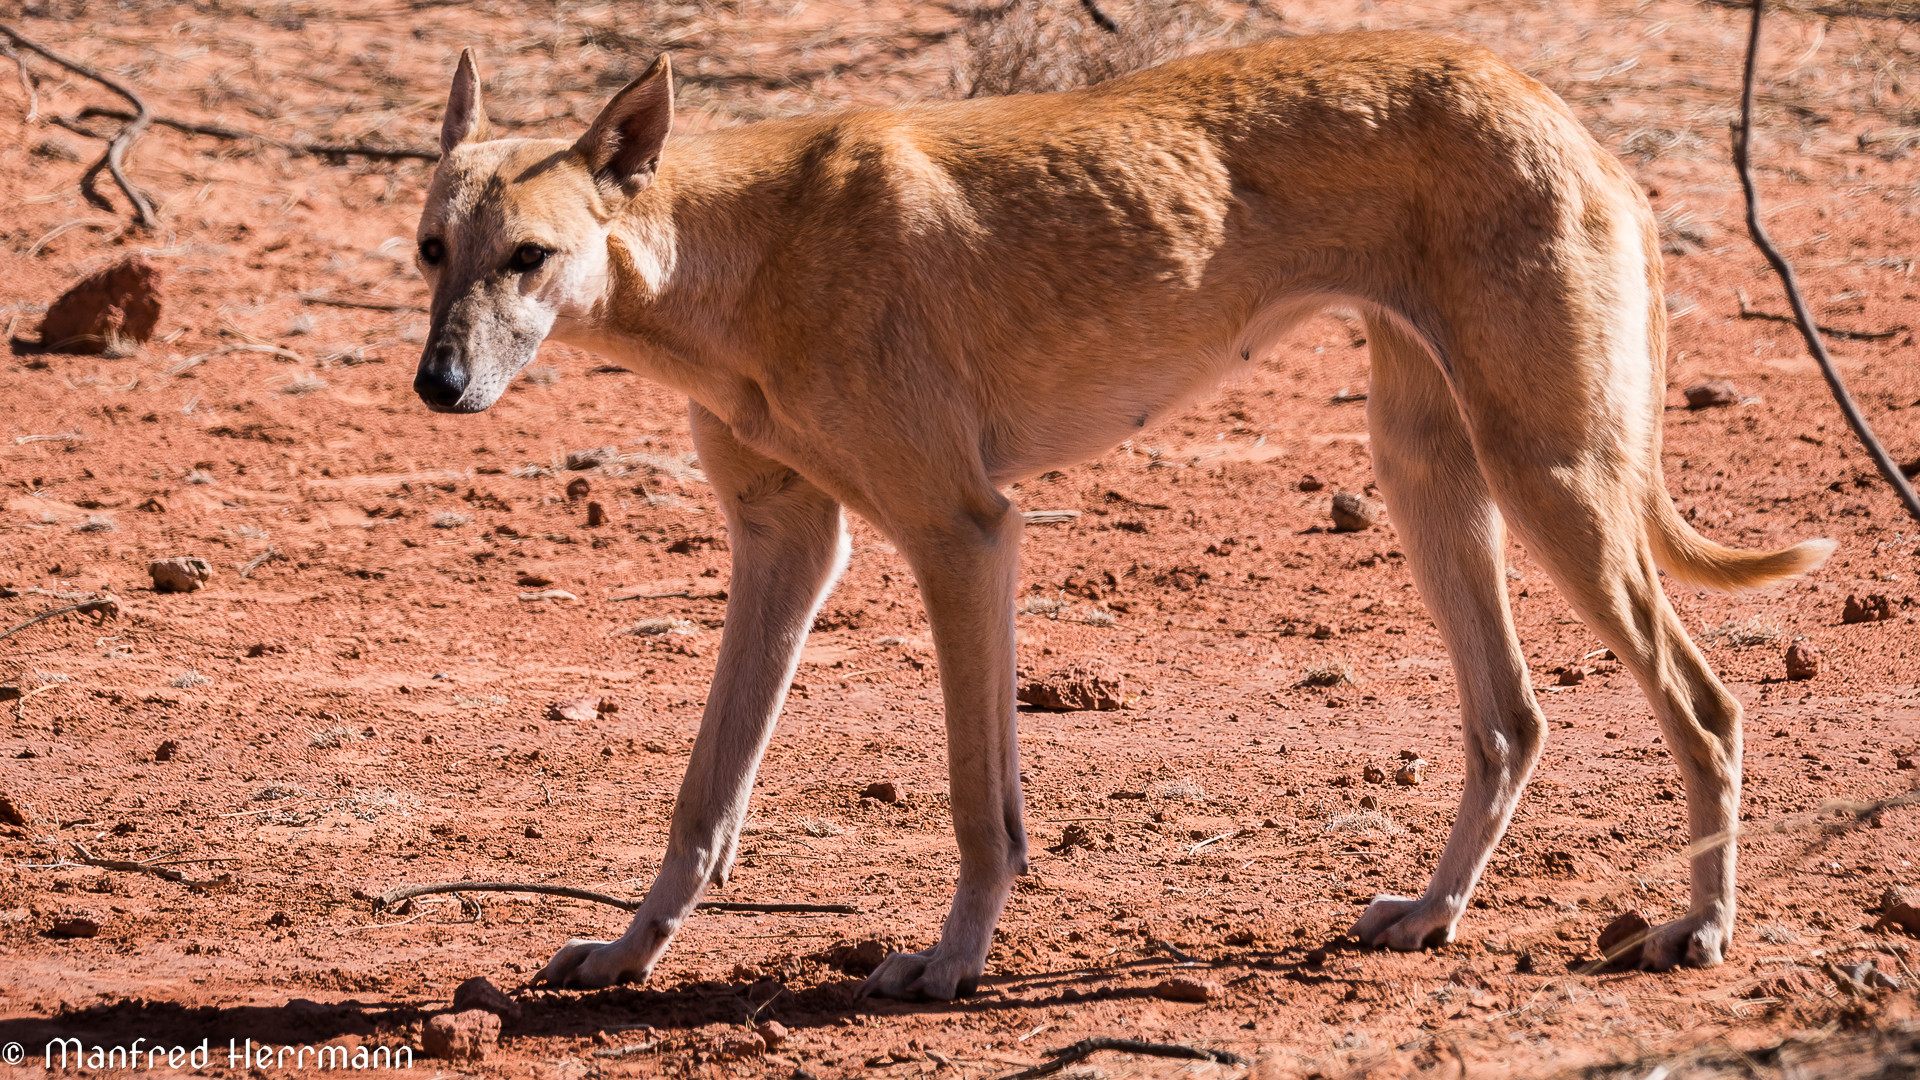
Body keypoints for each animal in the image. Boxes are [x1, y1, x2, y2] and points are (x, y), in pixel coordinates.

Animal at [416, 31, 1827, 991]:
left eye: (530, 258)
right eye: (433, 250)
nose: (438, 386)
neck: (742, 246)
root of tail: (1569, 119)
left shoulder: (961, 531)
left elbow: (978, 802)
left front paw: (948, 964)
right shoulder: (786, 543)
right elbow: (704, 795)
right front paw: (629, 950)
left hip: (1550, 476)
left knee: (1705, 704)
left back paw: (1702, 928)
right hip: (1432, 474)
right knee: (1511, 721)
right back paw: (1432, 915)